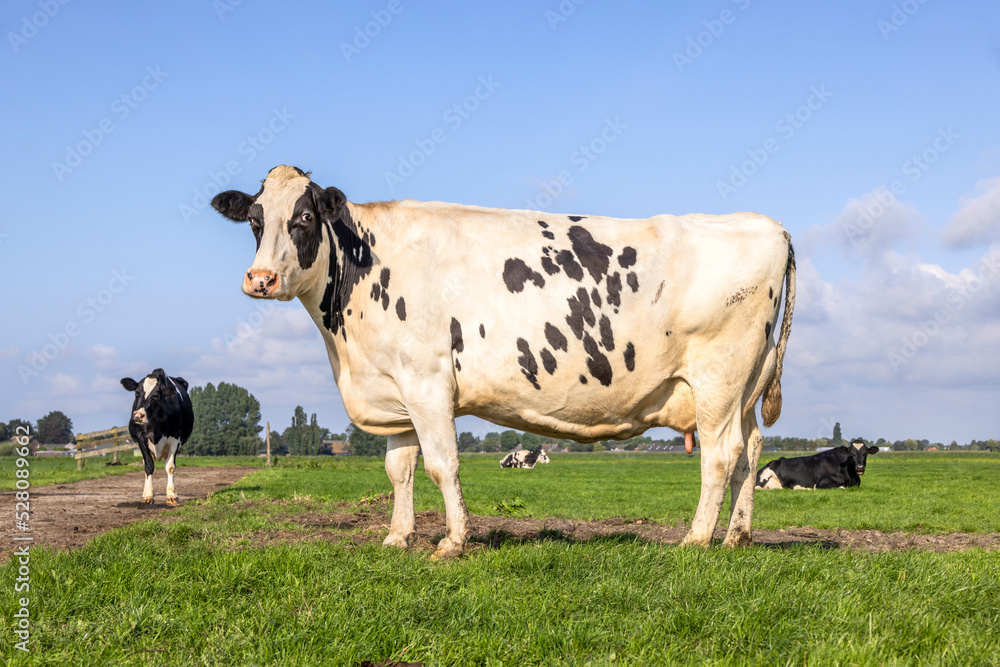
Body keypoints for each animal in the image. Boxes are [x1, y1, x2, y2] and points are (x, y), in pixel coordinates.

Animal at [120, 368, 194, 504]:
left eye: (155, 396)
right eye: (137, 394)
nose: (138, 416)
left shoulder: (175, 440)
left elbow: (170, 467)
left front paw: (172, 495)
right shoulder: (141, 439)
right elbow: (148, 466)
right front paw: (149, 495)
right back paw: (145, 492)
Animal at [211, 167, 796, 560]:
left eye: (305, 217)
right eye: (255, 221)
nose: (260, 279)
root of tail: (768, 225)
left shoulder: (427, 383)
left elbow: (441, 464)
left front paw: (452, 541)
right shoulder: (394, 387)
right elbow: (398, 468)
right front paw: (398, 536)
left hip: (719, 377)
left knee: (720, 454)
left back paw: (696, 539)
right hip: (746, 385)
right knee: (750, 451)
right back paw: (737, 536)